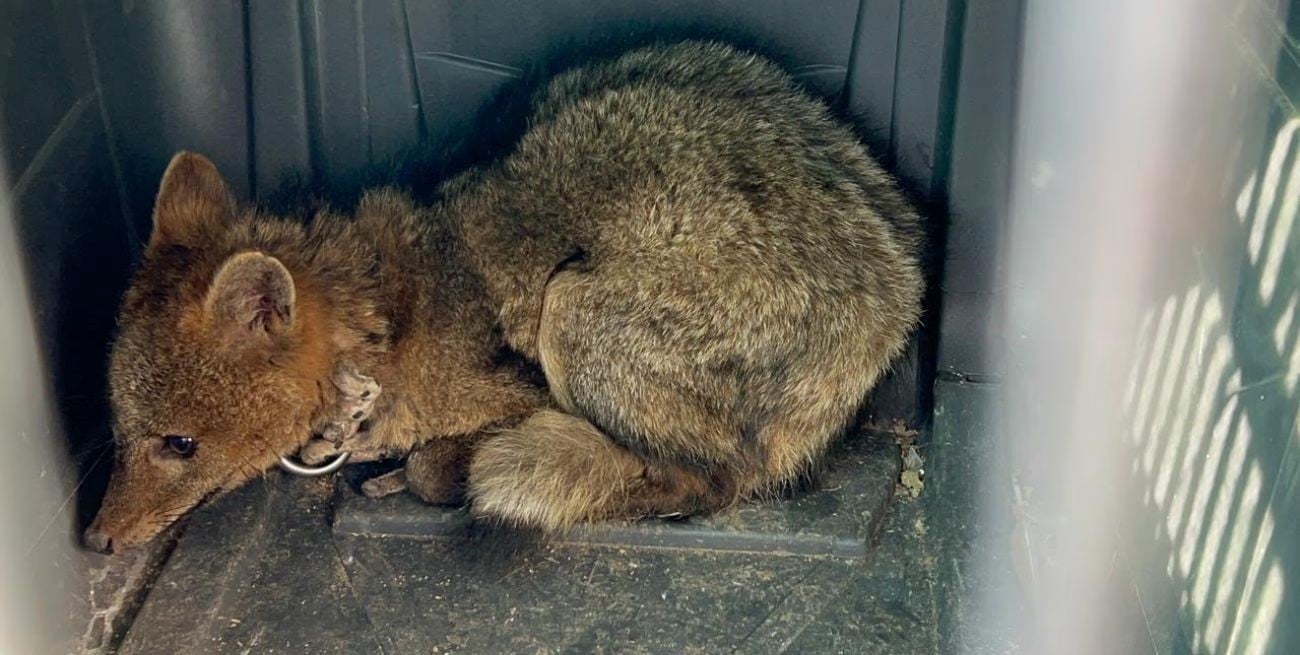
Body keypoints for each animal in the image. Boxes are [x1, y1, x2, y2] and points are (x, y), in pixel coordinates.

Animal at [84, 41, 924, 553]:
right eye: (119, 431)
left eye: (180, 444)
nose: (95, 538)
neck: (388, 327)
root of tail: (900, 295)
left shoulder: (515, 388)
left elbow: (437, 460)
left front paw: (427, 469)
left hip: (573, 315)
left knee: (709, 481)